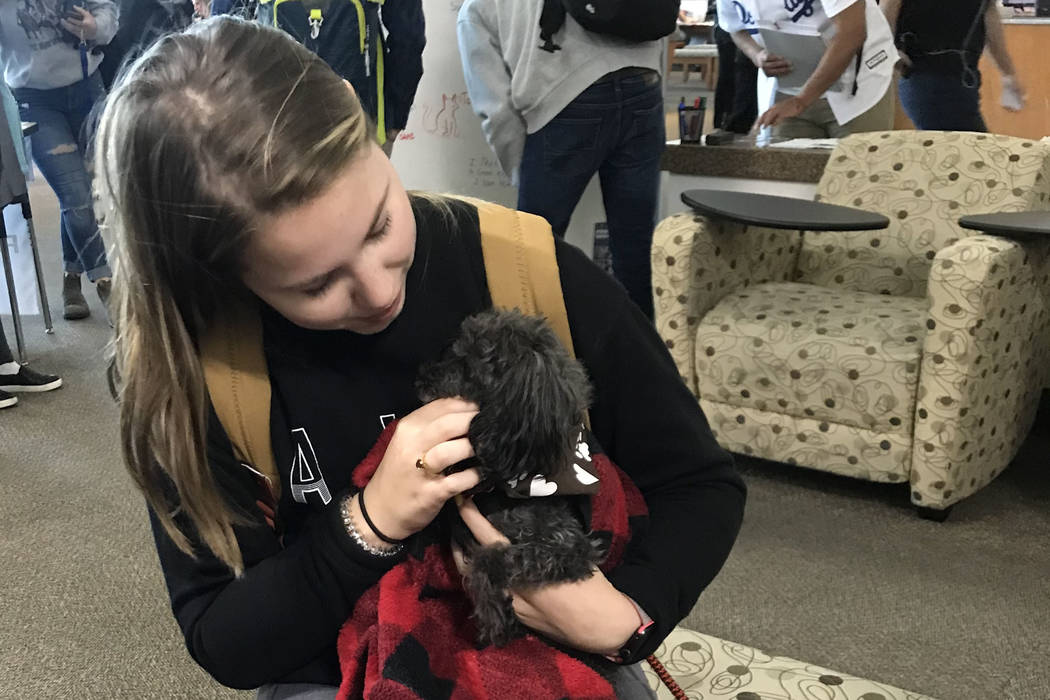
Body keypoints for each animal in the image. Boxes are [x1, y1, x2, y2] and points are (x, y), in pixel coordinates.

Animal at [417, 308, 609, 650]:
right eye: (454, 350)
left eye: (468, 366)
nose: (421, 378)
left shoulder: (570, 551)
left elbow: (490, 560)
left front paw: (494, 620)